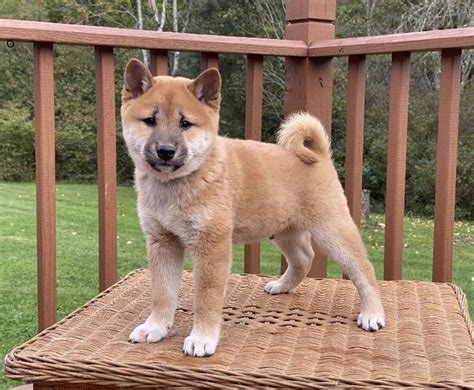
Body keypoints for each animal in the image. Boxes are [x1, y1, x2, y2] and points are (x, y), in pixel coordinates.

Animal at [121, 58, 386, 356]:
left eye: (185, 123)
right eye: (150, 120)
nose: (165, 150)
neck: (176, 185)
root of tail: (319, 156)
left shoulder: (211, 245)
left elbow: (206, 298)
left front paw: (202, 338)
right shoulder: (162, 242)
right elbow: (162, 293)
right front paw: (155, 327)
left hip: (333, 230)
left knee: (364, 269)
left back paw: (372, 314)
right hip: (284, 230)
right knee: (304, 258)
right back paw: (282, 285)